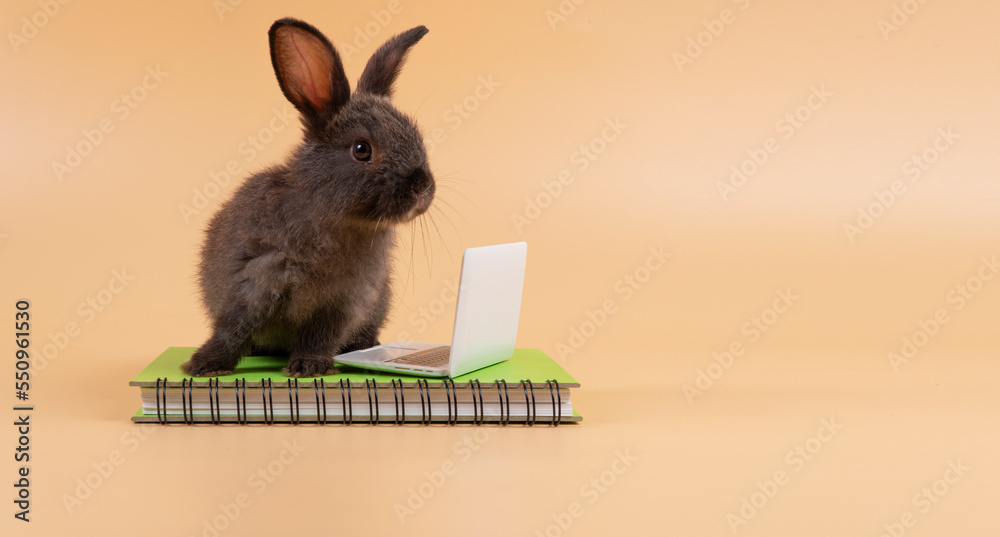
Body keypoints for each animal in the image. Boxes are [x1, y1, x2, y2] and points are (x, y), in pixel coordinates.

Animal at [181, 18, 434, 378]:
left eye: (416, 138)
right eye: (362, 149)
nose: (422, 186)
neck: (329, 216)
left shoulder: (342, 301)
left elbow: (320, 334)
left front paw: (308, 366)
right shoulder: (254, 279)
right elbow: (233, 326)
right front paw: (205, 365)